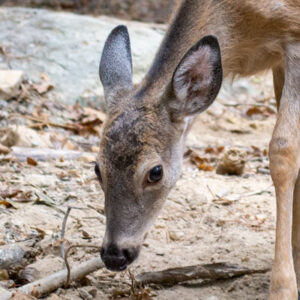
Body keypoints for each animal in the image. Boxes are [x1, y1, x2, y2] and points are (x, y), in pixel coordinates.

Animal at [95, 0, 300, 298]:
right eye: (97, 169)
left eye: (155, 172)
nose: (114, 254)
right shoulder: (278, 60)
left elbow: (283, 150)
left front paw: (284, 287)